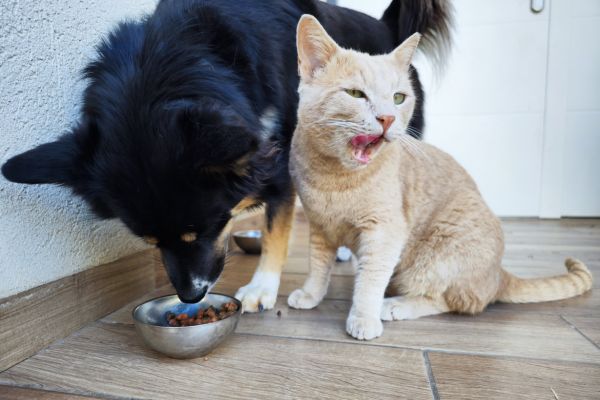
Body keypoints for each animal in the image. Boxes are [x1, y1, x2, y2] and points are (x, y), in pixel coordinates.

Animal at [0, 0, 450, 308]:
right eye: (148, 241)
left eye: (202, 230)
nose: (189, 298)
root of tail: (387, 26)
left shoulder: (278, 161)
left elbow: (276, 229)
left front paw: (262, 288)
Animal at [288, 15, 592, 340]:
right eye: (356, 94)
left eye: (398, 98)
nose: (388, 118)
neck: (333, 178)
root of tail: (499, 274)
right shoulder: (320, 229)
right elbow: (318, 266)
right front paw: (310, 295)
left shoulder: (384, 232)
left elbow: (370, 280)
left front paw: (364, 317)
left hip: (437, 255)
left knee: (451, 300)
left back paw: (393, 305)